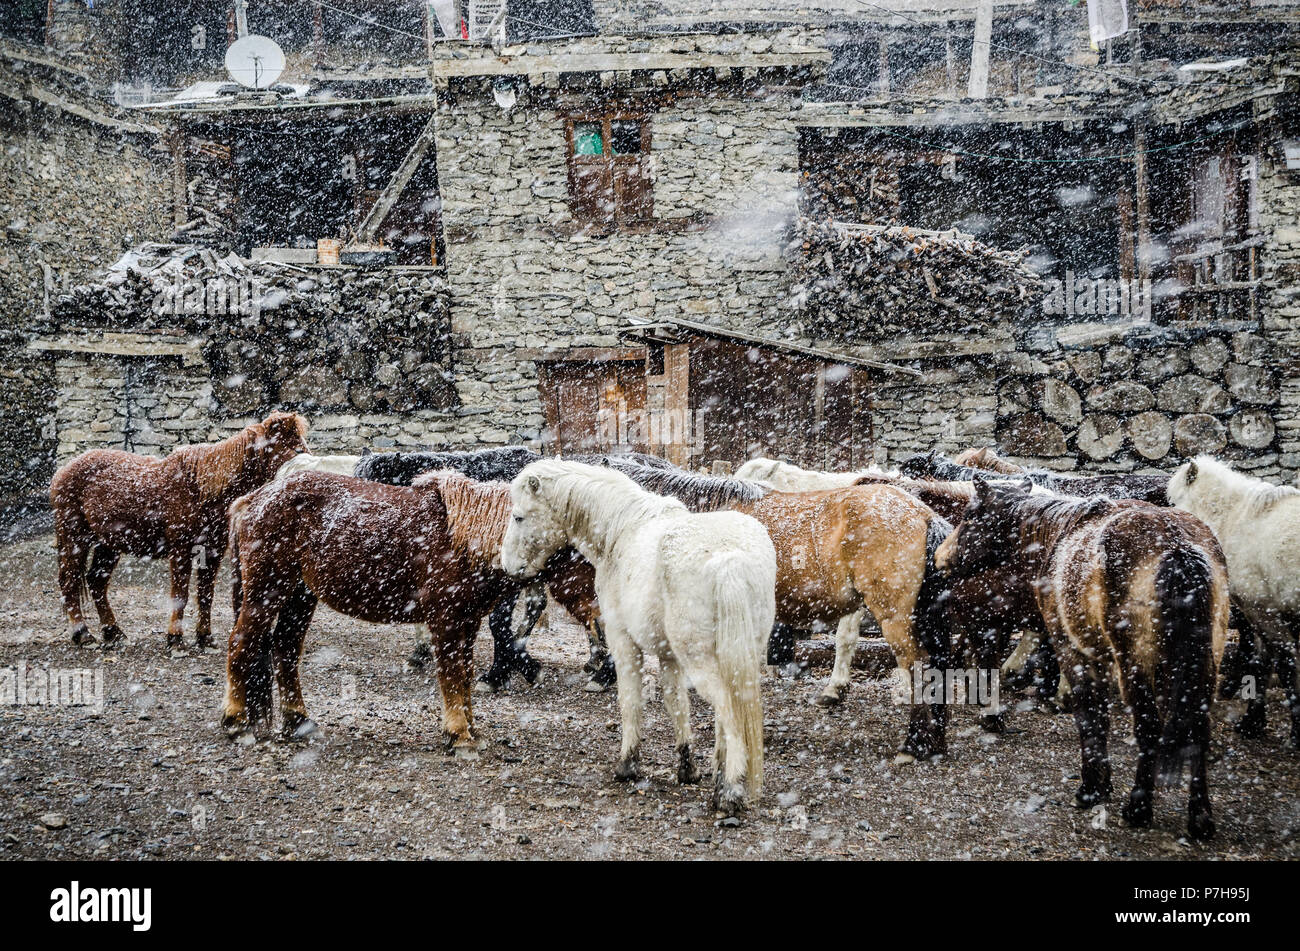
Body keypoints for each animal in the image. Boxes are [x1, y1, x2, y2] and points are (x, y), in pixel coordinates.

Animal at [48, 413, 309, 649]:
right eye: (294, 447)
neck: (202, 489)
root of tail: (62, 472)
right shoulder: (181, 550)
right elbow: (180, 595)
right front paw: (175, 639)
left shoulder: (213, 551)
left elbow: (205, 594)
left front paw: (204, 637)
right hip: (74, 537)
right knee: (69, 580)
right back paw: (82, 634)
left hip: (108, 544)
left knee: (96, 581)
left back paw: (113, 633)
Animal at [224, 467, 603, 748]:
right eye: (583, 555)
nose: (604, 617)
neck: (465, 540)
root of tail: (253, 499)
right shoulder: (445, 621)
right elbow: (451, 675)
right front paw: (459, 734)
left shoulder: (467, 622)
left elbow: (464, 675)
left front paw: (470, 729)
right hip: (266, 593)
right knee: (242, 644)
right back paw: (236, 721)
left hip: (299, 598)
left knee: (285, 650)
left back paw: (298, 722)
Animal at [499, 459, 774, 815]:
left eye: (519, 516)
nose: (507, 565)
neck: (621, 531)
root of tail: (730, 559)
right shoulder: (669, 656)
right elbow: (676, 703)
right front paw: (687, 768)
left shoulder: (623, 641)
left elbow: (630, 700)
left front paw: (628, 764)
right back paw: (719, 784)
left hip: (703, 662)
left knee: (729, 713)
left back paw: (730, 792)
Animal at [930, 478, 1222, 836]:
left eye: (970, 516)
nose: (940, 556)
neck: (1057, 535)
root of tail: (1177, 547)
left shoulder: (1072, 649)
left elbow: (1089, 714)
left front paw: (1091, 789)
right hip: (1199, 663)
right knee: (1198, 726)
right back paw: (1200, 819)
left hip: (1137, 665)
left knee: (1149, 726)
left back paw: (1137, 809)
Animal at [1170, 457, 1300, 748]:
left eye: (1174, 501)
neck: (1237, 520)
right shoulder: (1260, 614)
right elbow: (1262, 664)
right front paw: (1253, 722)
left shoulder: (1265, 611)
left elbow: (1284, 666)